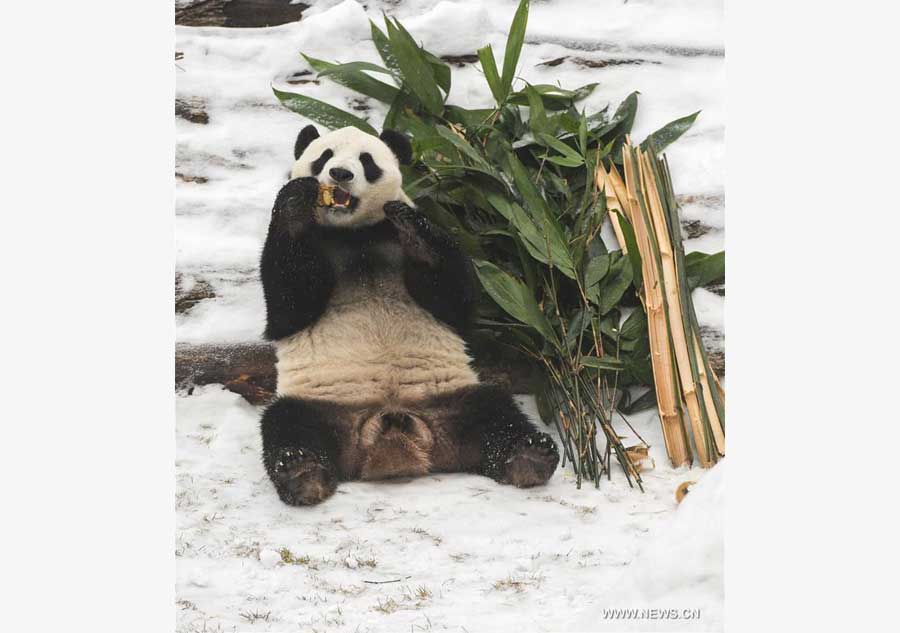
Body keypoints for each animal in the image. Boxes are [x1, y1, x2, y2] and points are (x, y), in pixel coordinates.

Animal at [259, 125, 560, 506]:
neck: (354, 233)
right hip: (322, 405)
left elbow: (456, 300)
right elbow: (288, 308)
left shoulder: (395, 235)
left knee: (495, 415)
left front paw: (413, 228)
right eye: (324, 156)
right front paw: (297, 203)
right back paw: (301, 471)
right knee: (288, 423)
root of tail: (391, 431)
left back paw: (530, 455)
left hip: (454, 399)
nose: (340, 174)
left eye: (366, 161)